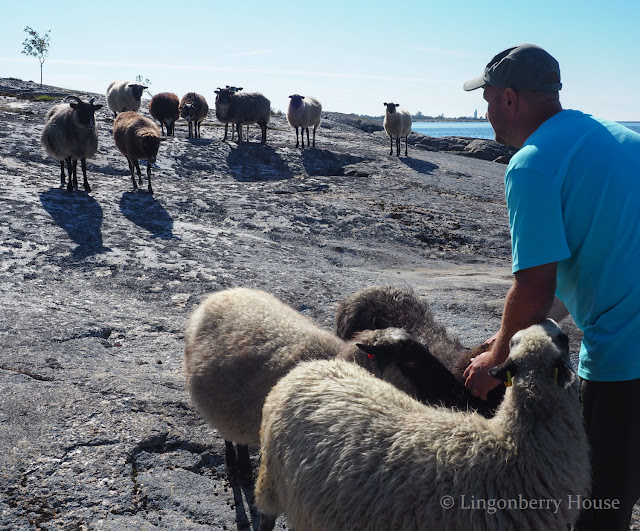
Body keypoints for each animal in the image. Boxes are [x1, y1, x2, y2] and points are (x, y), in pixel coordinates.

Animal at [182, 286, 438, 486]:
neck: (340, 360)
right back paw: (238, 468)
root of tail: (222, 293)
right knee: (230, 436)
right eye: (411, 361)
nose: (447, 393)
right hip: (223, 404)